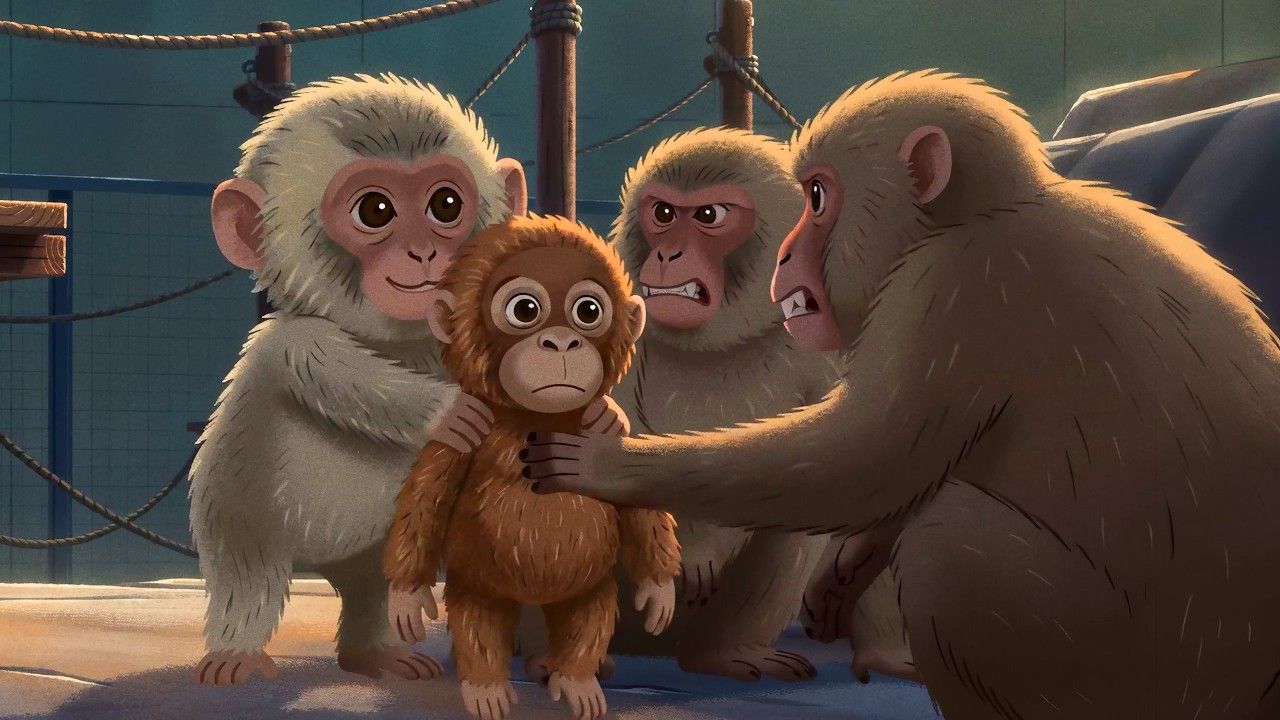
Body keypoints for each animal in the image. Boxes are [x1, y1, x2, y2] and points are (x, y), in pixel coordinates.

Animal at [192, 73, 551, 687]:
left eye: (445, 205)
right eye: (375, 210)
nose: (424, 251)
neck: (404, 342)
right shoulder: (290, 341)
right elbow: (331, 370)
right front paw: (452, 411)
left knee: (374, 585)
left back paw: (376, 651)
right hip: (238, 515)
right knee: (248, 577)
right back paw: (238, 650)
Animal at [383, 215, 680, 720]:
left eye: (588, 310)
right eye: (525, 309)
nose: (560, 341)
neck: (537, 419)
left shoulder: (606, 442)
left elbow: (636, 498)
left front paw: (659, 588)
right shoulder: (464, 434)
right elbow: (425, 497)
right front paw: (406, 597)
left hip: (588, 586)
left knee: (590, 615)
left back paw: (575, 679)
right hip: (479, 582)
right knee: (478, 619)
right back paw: (486, 688)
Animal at [521, 70, 1280, 719]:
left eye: (705, 216)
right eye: (661, 214)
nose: (667, 254)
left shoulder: (944, 291)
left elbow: (851, 465)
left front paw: (614, 468)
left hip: (1128, 667)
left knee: (941, 543)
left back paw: (731, 653)